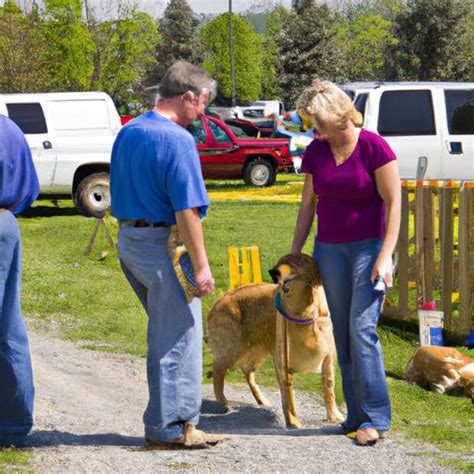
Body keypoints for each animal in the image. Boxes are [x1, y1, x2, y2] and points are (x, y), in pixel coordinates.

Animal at [207, 254, 344, 428]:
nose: (274, 273)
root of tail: (217, 303)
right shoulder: (283, 360)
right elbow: (288, 397)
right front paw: (293, 423)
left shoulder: (328, 356)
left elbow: (329, 387)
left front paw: (334, 416)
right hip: (232, 349)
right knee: (218, 373)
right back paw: (222, 403)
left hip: (256, 352)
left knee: (247, 372)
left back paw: (262, 401)